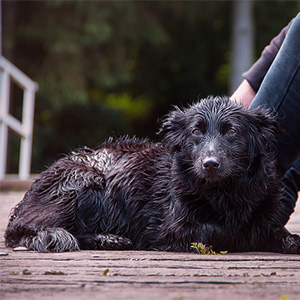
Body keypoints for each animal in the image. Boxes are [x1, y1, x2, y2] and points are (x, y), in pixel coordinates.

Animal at [4, 96, 300, 253]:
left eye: (232, 131)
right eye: (196, 131)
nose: (210, 164)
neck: (224, 192)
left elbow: (274, 230)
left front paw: (287, 239)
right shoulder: (172, 228)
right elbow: (222, 231)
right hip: (85, 182)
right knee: (25, 231)